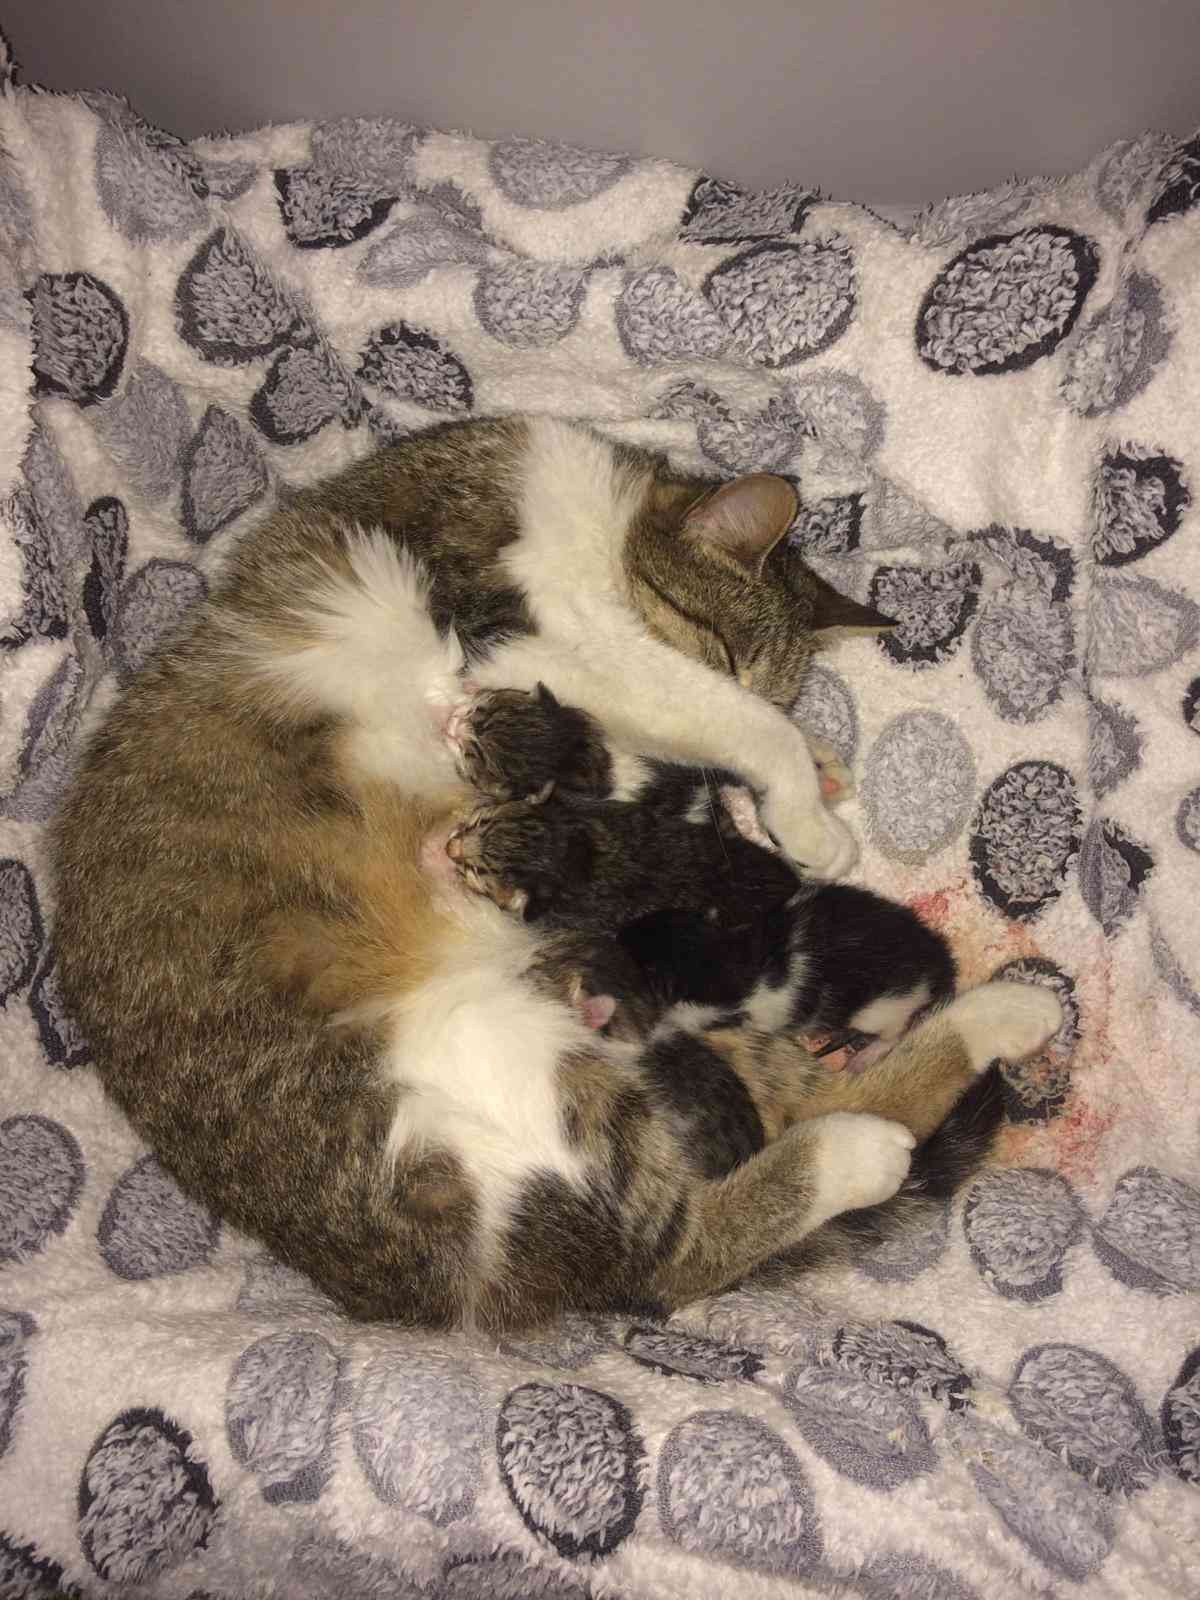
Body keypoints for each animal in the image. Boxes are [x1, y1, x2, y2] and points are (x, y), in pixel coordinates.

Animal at [51, 412, 1068, 1324]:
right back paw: (867, 1149)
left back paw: (1003, 1017)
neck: (596, 515)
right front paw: (803, 798)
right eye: (724, 649)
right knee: (669, 1261)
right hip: (498, 1079)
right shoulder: (520, 631)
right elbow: (722, 718)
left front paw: (811, 766)